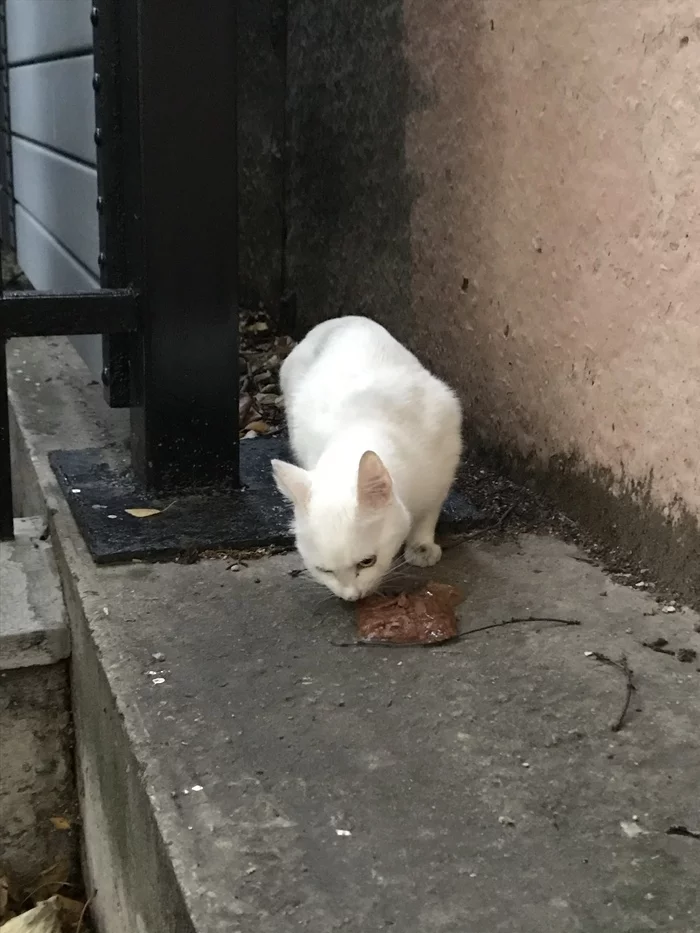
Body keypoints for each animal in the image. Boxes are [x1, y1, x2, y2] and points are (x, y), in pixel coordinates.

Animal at [270, 316, 462, 600]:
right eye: (324, 571)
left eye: (367, 562)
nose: (351, 597)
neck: (360, 425)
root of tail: (342, 320)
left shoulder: (445, 455)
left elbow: (430, 510)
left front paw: (422, 545)